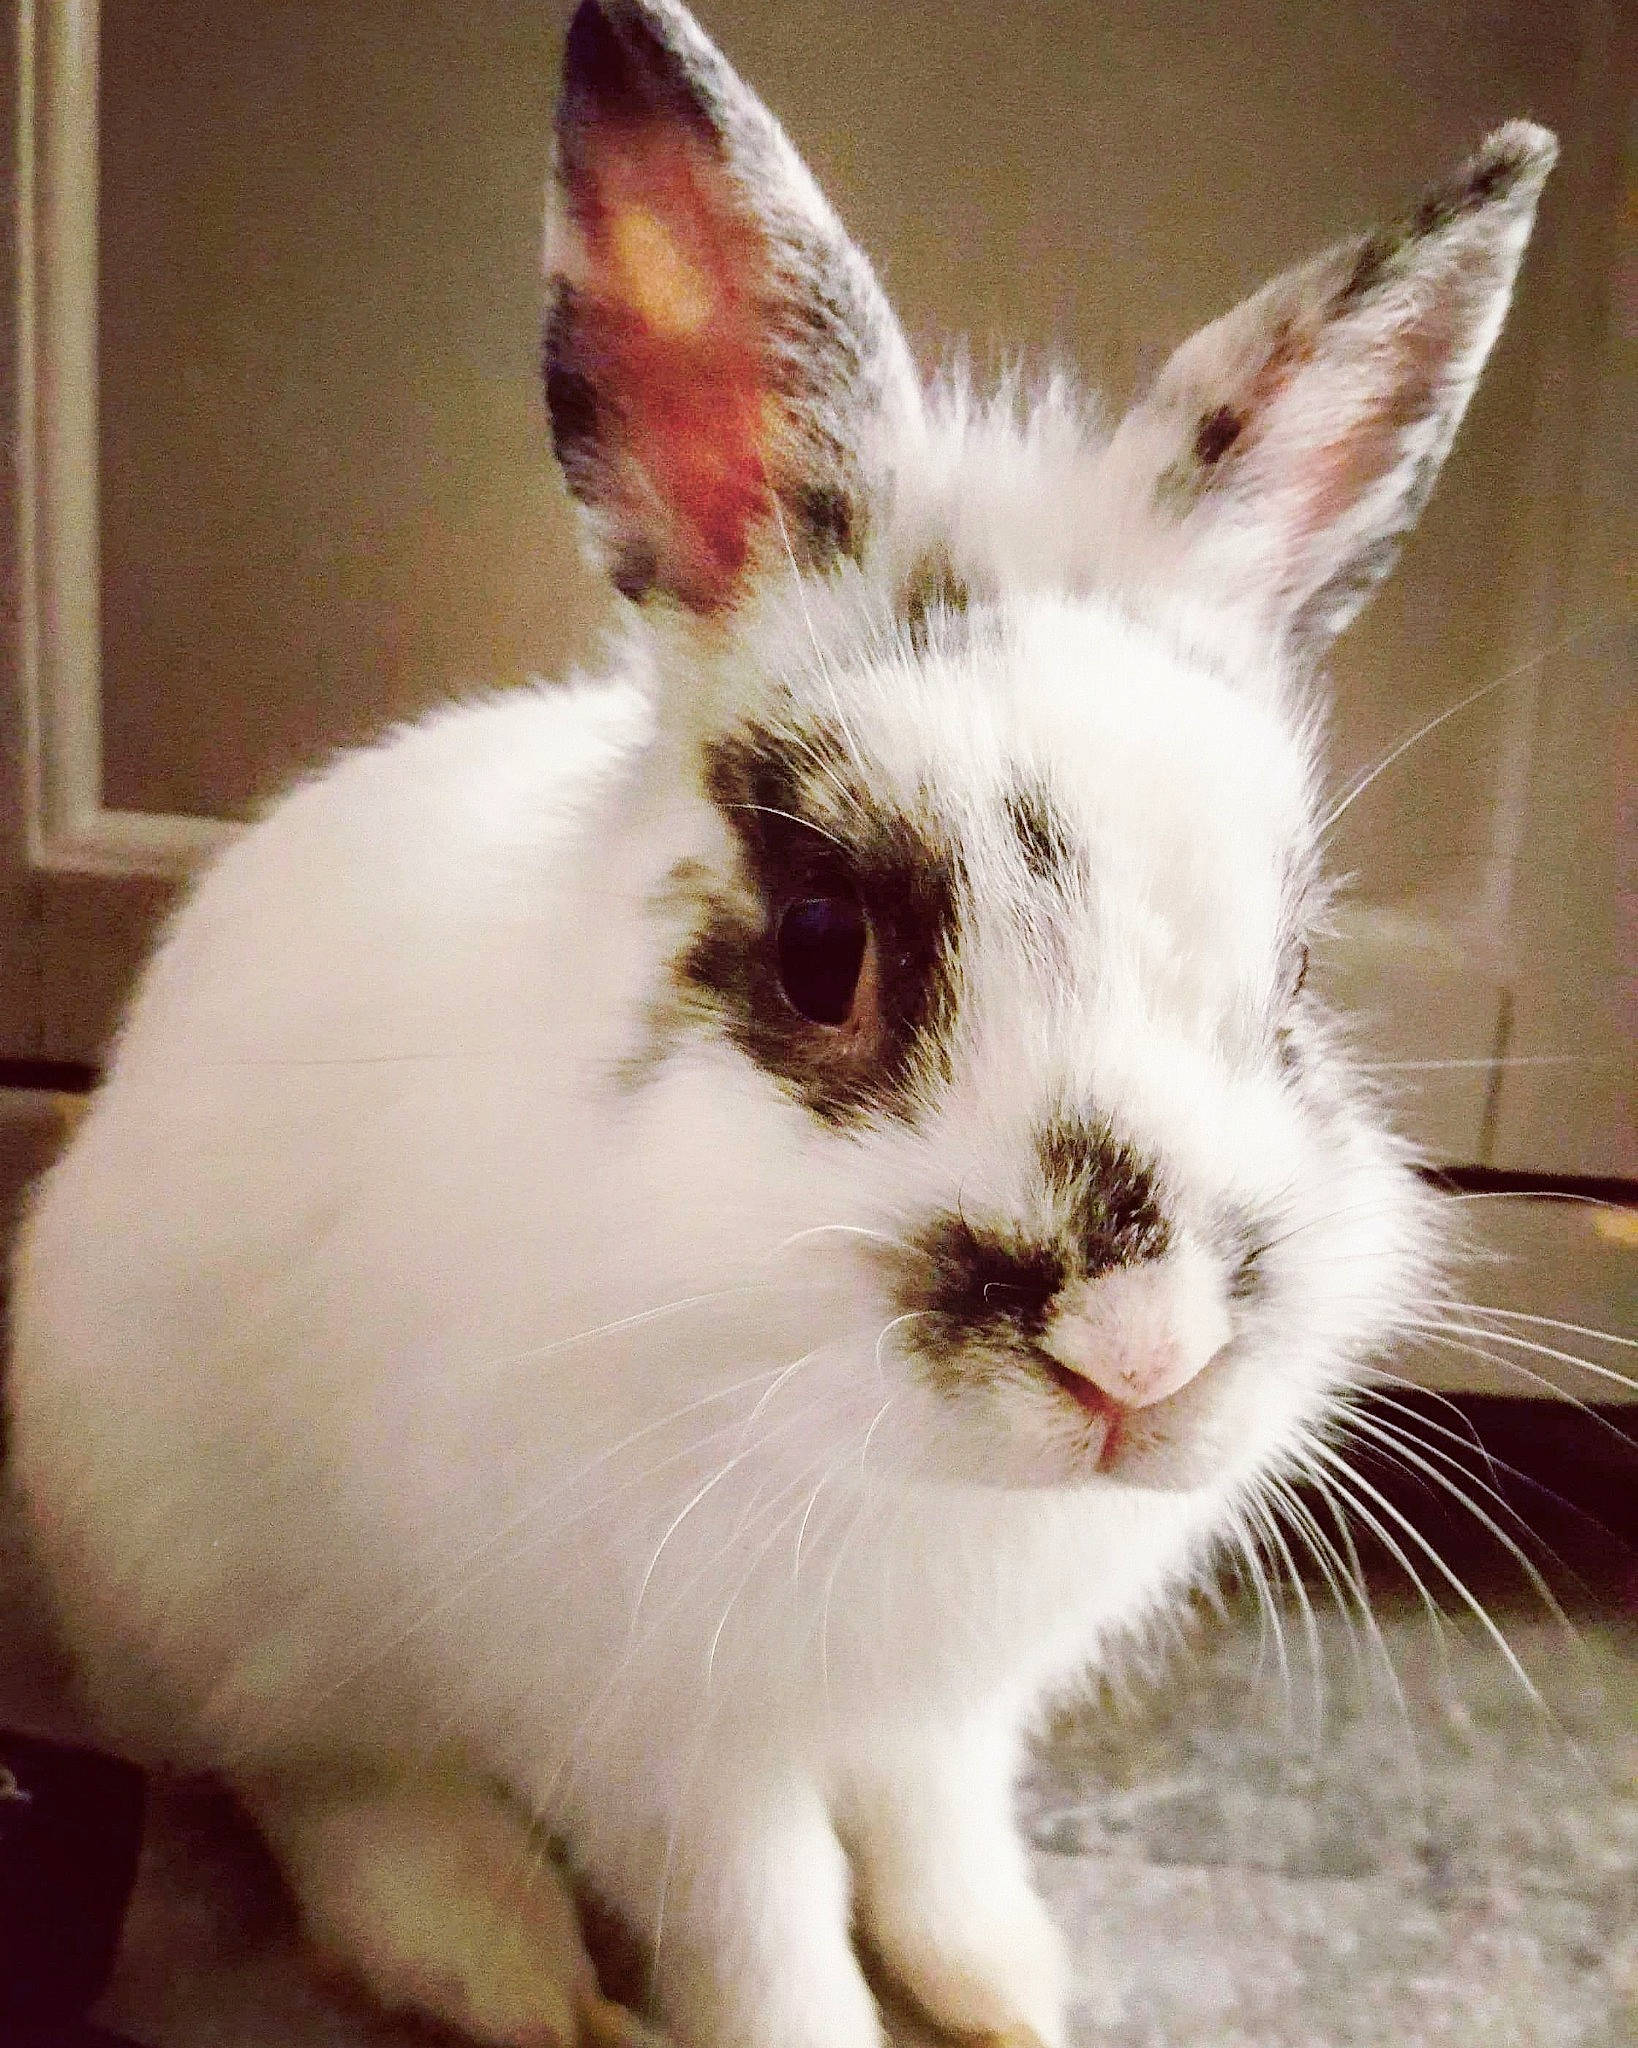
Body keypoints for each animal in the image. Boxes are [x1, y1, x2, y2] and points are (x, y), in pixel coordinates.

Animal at [5, 2, 1557, 2045]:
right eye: (825, 947)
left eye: (1293, 970)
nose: (1139, 1359)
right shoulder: (665, 1742)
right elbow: (767, 1931)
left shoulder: (942, 1718)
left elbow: (932, 1840)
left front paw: (1009, 1992)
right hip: (206, 1579)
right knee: (315, 1774)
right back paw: (509, 1965)